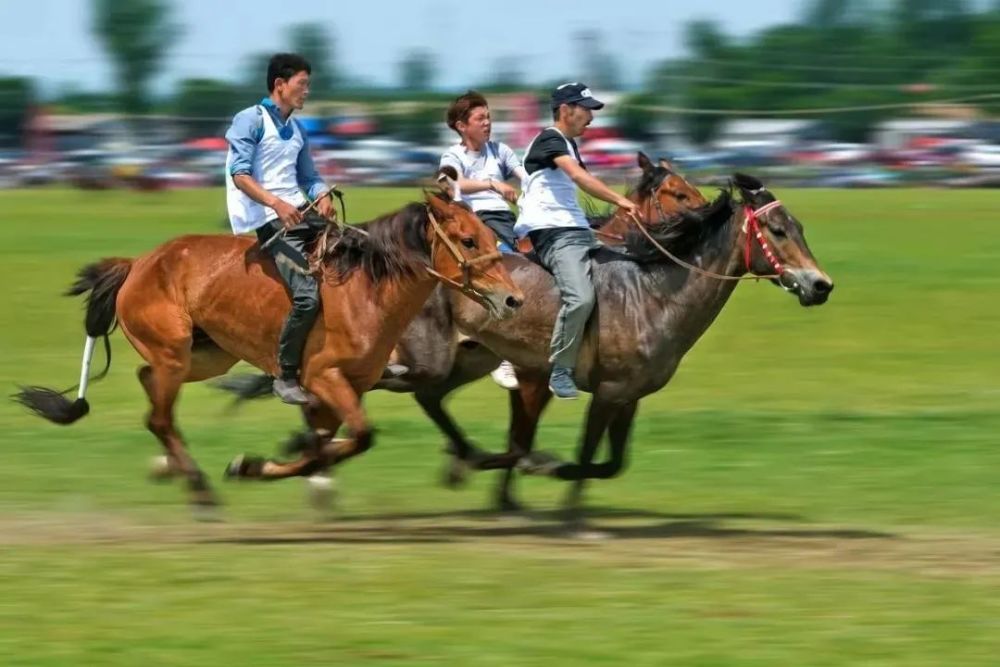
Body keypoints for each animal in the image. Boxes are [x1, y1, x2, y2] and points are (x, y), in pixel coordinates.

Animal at [15, 185, 524, 508]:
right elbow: (356, 437)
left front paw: (256, 466)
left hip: (207, 356)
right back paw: (197, 486)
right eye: (467, 239)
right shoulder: (325, 380)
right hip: (174, 352)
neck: (364, 288)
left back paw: (177, 469)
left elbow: (324, 446)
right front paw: (261, 466)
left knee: (149, 388)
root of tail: (138, 262)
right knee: (159, 415)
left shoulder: (346, 389)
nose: (513, 299)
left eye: (489, 234)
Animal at [223, 168, 832, 520]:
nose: (820, 285)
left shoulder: (626, 395)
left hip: (463, 360)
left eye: (800, 227)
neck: (652, 290)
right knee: (394, 393)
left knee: (426, 402)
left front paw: (529, 487)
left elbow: (608, 462)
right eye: (778, 231)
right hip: (429, 358)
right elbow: (579, 457)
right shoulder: (593, 388)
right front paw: (548, 485)